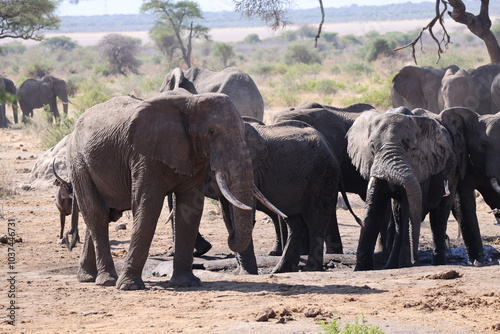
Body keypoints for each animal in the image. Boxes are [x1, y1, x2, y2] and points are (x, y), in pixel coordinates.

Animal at [67, 92, 258, 290]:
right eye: (212, 132)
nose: (231, 234)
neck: (192, 101)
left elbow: (190, 209)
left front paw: (186, 283)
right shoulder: (144, 156)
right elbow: (148, 206)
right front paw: (130, 286)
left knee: (102, 215)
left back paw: (87, 278)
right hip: (79, 163)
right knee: (97, 216)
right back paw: (108, 281)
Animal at [346, 108, 462, 270]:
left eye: (412, 149)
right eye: (372, 147)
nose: (415, 261)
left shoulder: (423, 168)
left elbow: (410, 208)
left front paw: (407, 265)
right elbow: (374, 207)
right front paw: (361, 269)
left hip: (452, 173)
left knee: (438, 216)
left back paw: (436, 263)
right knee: (399, 218)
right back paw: (391, 266)